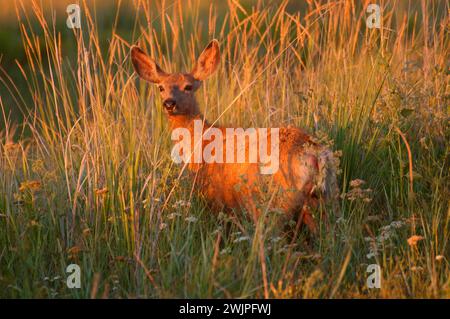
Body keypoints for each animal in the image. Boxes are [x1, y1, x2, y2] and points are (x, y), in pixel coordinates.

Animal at [130, 39, 338, 235]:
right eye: (160, 88)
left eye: (188, 86)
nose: (169, 103)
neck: (201, 139)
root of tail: (315, 154)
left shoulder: (213, 196)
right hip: (322, 198)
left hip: (275, 200)